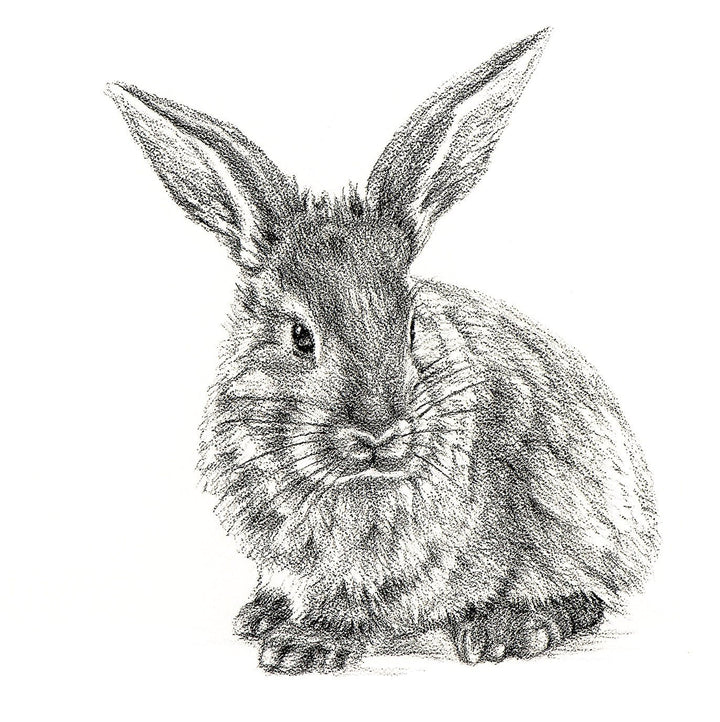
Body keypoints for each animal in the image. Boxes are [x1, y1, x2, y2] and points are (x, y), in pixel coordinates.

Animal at [107, 28, 658, 674]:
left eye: (413, 325)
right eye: (300, 337)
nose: (378, 431)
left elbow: (364, 605)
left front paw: (303, 646)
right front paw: (269, 622)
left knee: (585, 594)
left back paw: (509, 629)